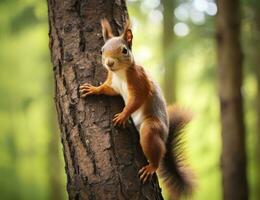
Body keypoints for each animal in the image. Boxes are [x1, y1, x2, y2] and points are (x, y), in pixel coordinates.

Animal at [80, 18, 194, 198]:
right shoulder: (113, 84)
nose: (109, 63)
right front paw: (93, 89)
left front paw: (123, 115)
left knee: (154, 148)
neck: (120, 73)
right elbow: (107, 89)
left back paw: (151, 167)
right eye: (101, 50)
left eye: (124, 50)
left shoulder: (140, 83)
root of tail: (165, 137)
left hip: (151, 127)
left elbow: (136, 101)